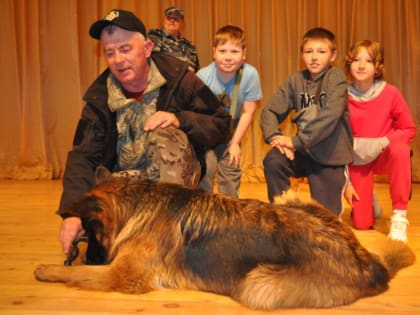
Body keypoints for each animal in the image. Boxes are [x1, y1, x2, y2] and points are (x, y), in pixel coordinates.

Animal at [34, 170, 416, 312]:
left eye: (90, 229)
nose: (92, 257)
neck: (139, 204)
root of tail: (368, 264)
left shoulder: (120, 276)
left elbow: (74, 275)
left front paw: (47, 269)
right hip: (291, 196)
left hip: (257, 283)